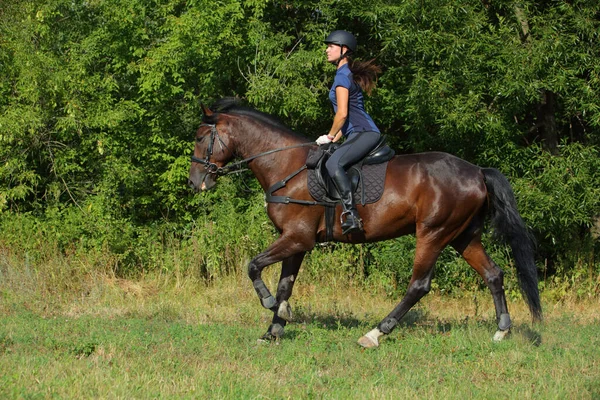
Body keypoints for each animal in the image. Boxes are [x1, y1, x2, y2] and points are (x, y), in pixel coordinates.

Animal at [189, 98, 544, 346]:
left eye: (201, 138)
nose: (195, 183)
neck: (285, 164)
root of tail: (478, 171)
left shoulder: (298, 237)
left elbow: (253, 265)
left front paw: (269, 304)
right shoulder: (295, 241)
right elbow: (284, 284)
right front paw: (275, 327)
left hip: (433, 233)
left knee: (418, 285)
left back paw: (376, 333)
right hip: (463, 235)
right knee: (493, 274)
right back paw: (501, 331)